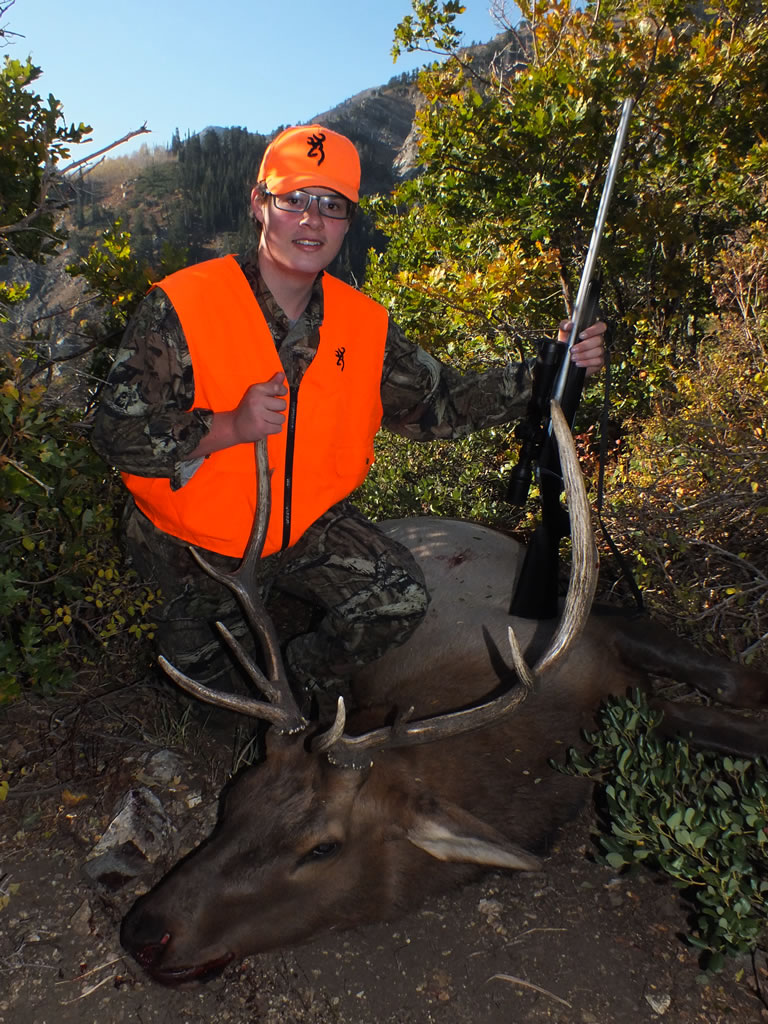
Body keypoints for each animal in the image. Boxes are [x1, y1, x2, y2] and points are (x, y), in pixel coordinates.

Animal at [120, 404, 768, 986]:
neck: (545, 750)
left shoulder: (603, 631)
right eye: (235, 797)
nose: (144, 933)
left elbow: (735, 683)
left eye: (322, 848)